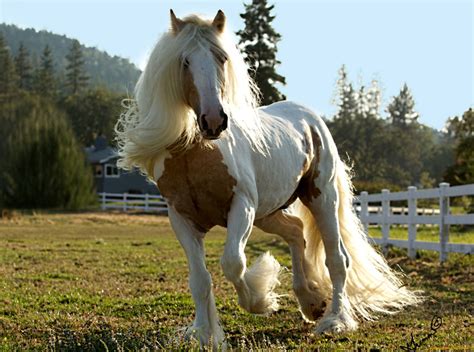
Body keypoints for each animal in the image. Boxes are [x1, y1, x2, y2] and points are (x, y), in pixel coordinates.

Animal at [116, 9, 420, 348]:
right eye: (184, 61)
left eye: (222, 57)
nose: (214, 120)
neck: (196, 154)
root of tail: (310, 117)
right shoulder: (181, 218)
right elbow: (200, 279)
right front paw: (204, 335)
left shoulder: (242, 207)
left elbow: (233, 263)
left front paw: (261, 299)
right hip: (269, 211)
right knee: (296, 232)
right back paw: (311, 302)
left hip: (321, 197)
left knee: (337, 259)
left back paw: (334, 321)